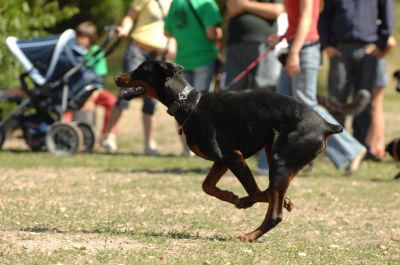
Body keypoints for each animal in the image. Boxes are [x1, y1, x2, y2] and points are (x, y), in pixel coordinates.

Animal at [114, 60, 342, 241]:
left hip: (281, 164)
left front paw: (245, 200)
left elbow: (256, 192)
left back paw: (249, 235)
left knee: (274, 213)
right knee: (272, 194)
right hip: (274, 152)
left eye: (140, 70)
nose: (116, 78)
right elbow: (207, 186)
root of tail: (326, 125)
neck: (188, 104)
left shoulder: (234, 157)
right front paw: (234, 197)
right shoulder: (222, 160)